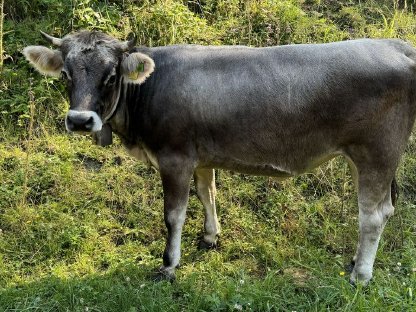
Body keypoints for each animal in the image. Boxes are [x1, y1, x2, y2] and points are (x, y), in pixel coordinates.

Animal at [23, 30, 416, 284]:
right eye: (65, 73)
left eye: (111, 75)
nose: (80, 120)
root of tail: (397, 46)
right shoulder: (201, 157)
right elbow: (207, 194)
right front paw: (210, 236)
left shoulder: (175, 158)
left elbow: (174, 215)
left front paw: (168, 265)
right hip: (360, 156)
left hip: (377, 152)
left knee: (373, 215)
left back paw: (360, 274)